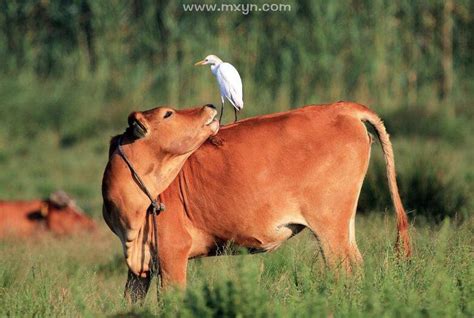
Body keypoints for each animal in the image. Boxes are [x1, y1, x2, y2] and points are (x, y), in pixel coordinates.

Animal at [102, 102, 410, 304]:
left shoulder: (172, 253)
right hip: (344, 225)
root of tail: (342, 107)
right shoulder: (140, 266)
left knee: (345, 270)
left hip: (330, 226)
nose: (209, 105)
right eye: (168, 113)